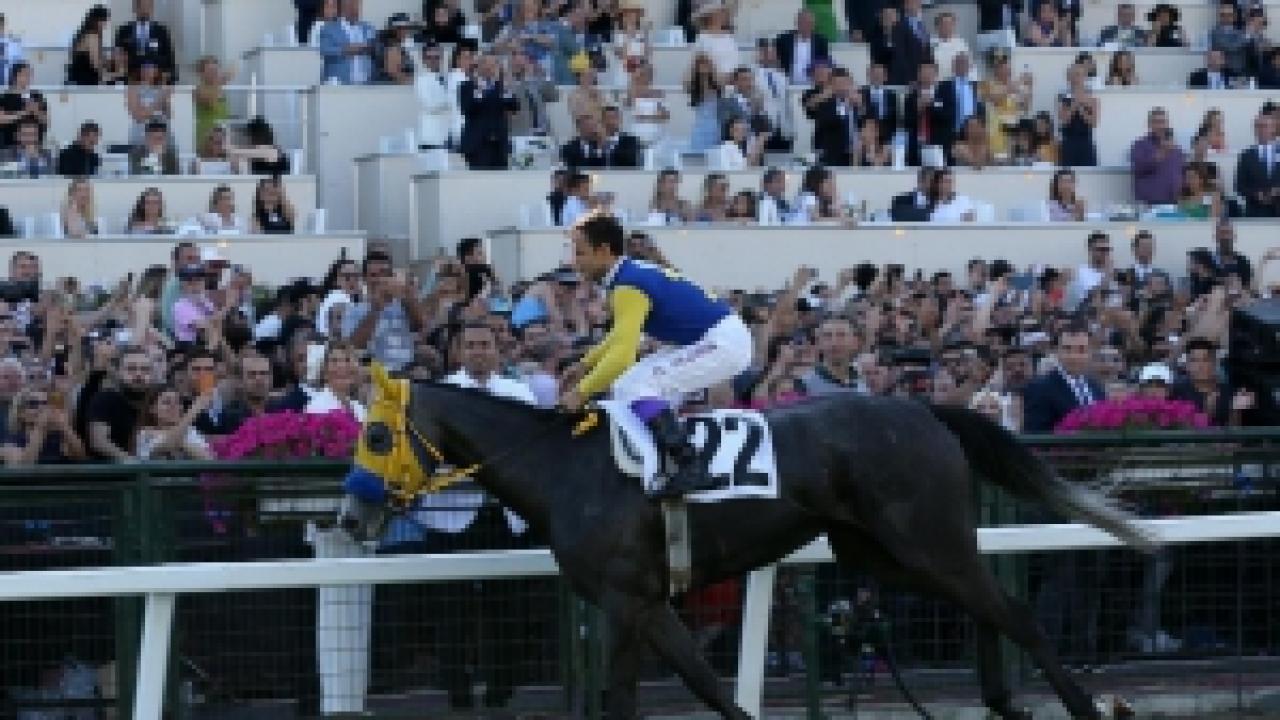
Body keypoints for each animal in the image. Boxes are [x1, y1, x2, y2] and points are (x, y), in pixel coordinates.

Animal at [341, 367, 1155, 720]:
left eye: (376, 434)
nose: (350, 517)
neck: (561, 466)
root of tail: (925, 409)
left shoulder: (622, 600)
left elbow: (621, 697)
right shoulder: (645, 602)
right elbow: (705, 684)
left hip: (922, 540)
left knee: (1012, 612)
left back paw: (1073, 707)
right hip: (883, 552)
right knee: (989, 607)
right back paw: (1001, 699)